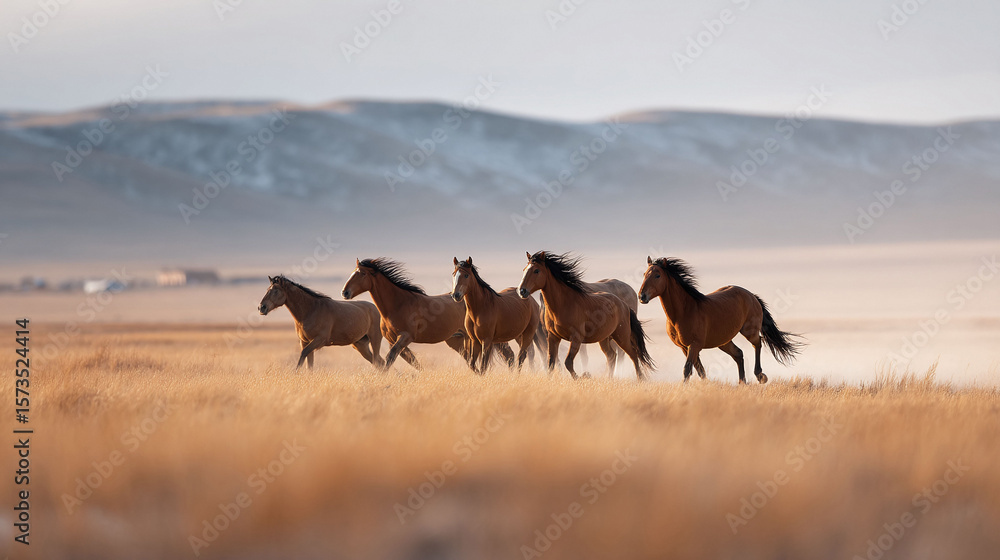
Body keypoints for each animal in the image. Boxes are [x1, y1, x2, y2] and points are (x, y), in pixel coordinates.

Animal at [343, 258, 503, 371]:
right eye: (352, 272)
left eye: (362, 274)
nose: (345, 292)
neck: (398, 304)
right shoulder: (392, 339)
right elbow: (410, 361)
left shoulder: (406, 336)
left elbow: (392, 358)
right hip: (457, 340)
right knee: (470, 360)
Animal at [517, 251, 654, 380]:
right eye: (524, 269)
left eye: (536, 270)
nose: (522, 291)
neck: (564, 304)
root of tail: (624, 305)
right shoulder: (552, 337)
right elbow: (551, 362)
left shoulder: (576, 338)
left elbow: (568, 362)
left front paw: (581, 377)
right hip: (604, 338)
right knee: (611, 355)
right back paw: (609, 378)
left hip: (622, 336)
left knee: (632, 354)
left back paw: (640, 378)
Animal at [638, 257, 804, 384]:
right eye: (644, 274)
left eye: (657, 275)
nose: (642, 296)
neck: (684, 312)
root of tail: (751, 296)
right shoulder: (684, 347)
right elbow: (699, 370)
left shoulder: (694, 345)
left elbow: (687, 369)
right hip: (723, 341)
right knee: (738, 354)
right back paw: (742, 383)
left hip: (748, 331)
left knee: (758, 343)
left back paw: (760, 376)